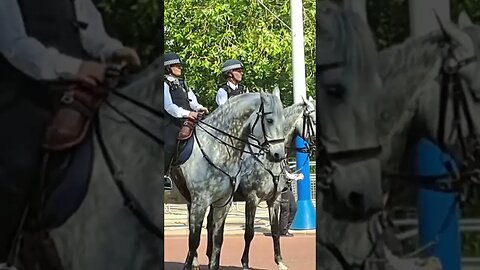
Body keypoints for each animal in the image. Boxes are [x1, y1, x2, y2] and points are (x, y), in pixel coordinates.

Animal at [171, 89, 286, 268]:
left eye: (284, 120)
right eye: (269, 120)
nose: (278, 154)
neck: (216, 148)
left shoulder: (224, 203)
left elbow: (218, 239)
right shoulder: (204, 202)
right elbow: (194, 240)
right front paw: (245, 263)